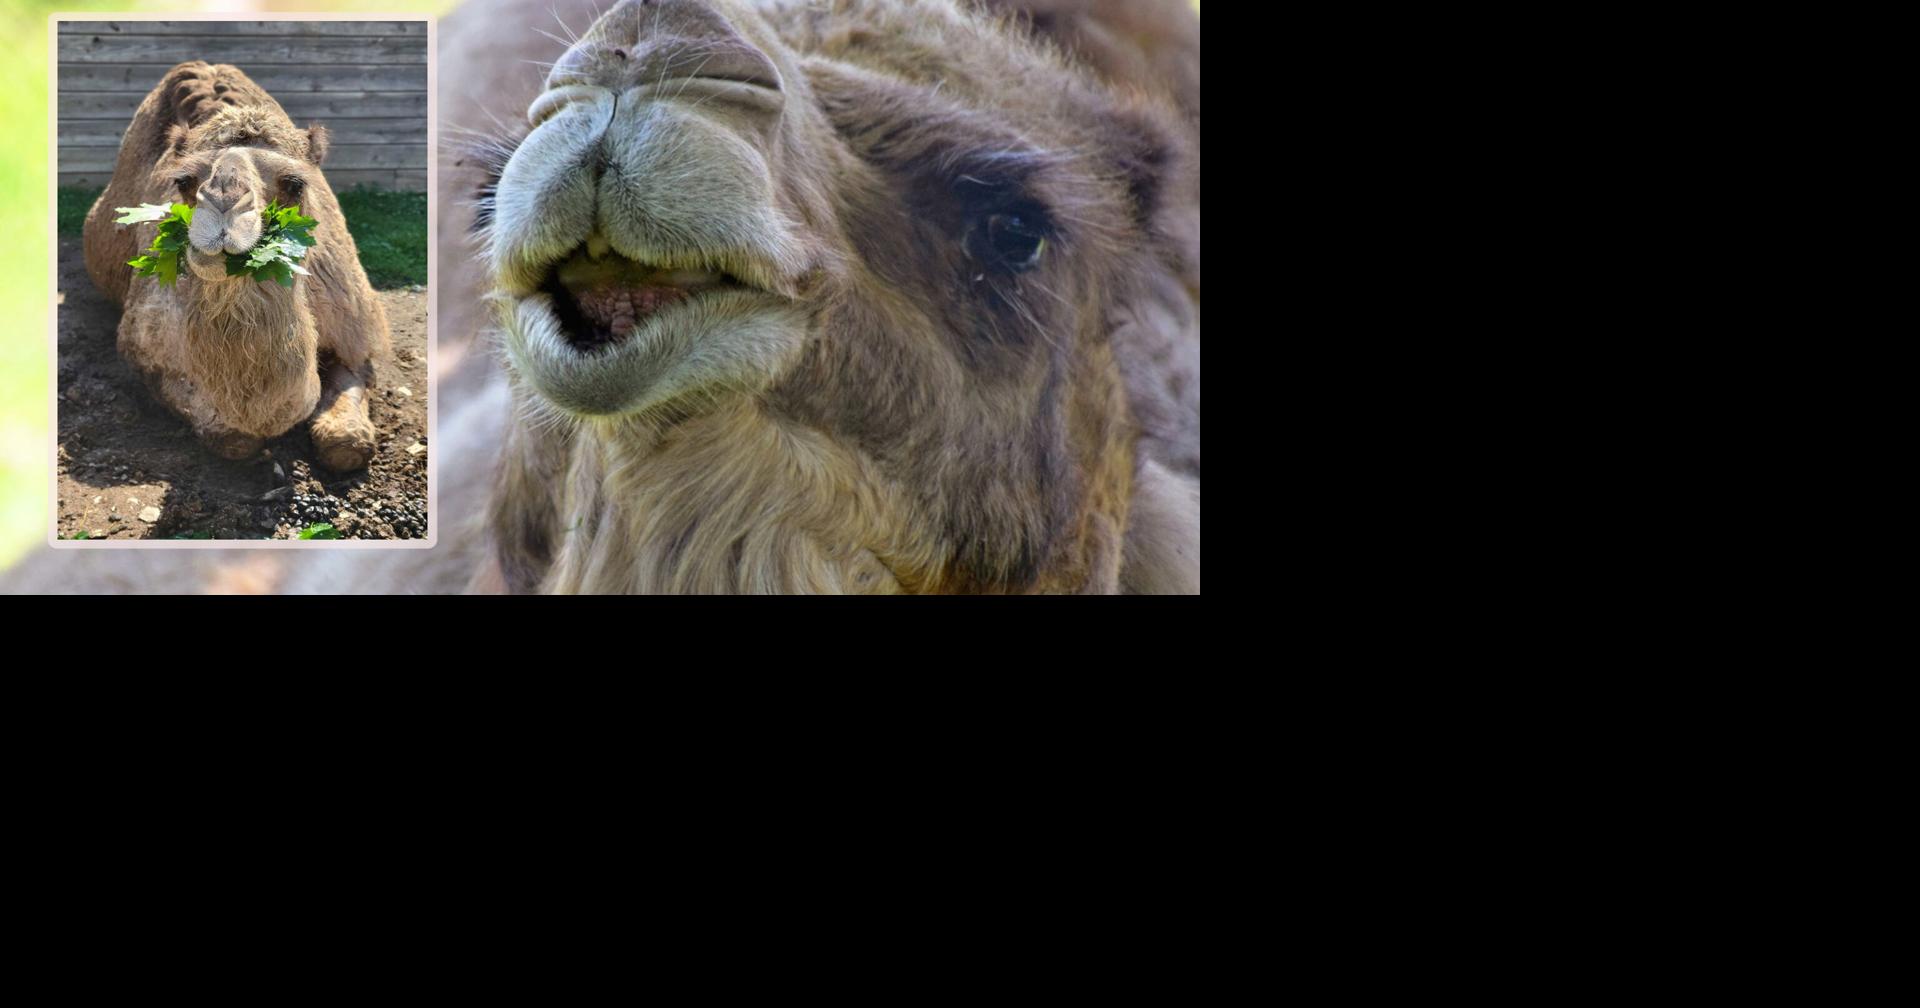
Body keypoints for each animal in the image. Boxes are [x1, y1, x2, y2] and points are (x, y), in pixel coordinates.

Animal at [81, 61, 390, 471]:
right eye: (184, 181)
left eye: (295, 184)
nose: (225, 205)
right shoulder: (145, 347)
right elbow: (231, 436)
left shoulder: (354, 323)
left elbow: (347, 436)